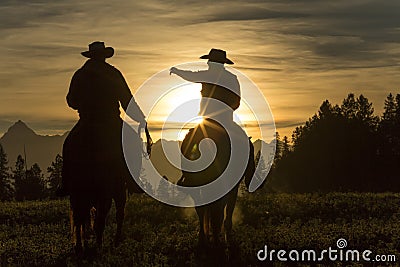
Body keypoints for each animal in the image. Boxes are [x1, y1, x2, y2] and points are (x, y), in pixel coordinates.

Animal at [180, 118, 255, 248]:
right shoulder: (231, 188)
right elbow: (226, 212)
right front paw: (227, 237)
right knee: (216, 212)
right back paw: (216, 240)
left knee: (201, 209)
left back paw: (203, 238)